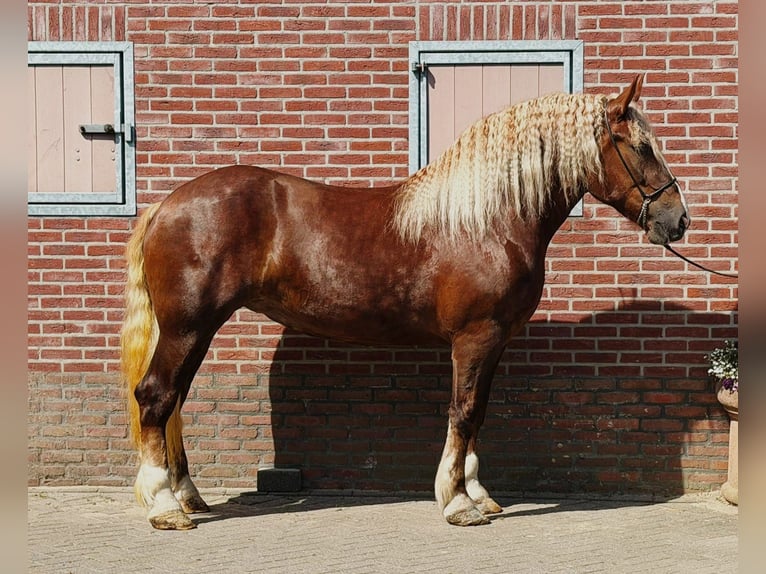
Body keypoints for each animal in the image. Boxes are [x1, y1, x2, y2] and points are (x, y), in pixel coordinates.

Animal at [121, 75, 689, 530]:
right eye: (641, 147)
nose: (678, 220)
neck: (488, 220)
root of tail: (166, 205)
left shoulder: (494, 342)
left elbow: (478, 412)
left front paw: (478, 494)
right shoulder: (474, 337)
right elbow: (463, 411)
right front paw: (457, 503)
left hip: (193, 331)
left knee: (174, 403)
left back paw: (188, 497)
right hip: (188, 327)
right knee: (156, 397)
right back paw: (164, 506)